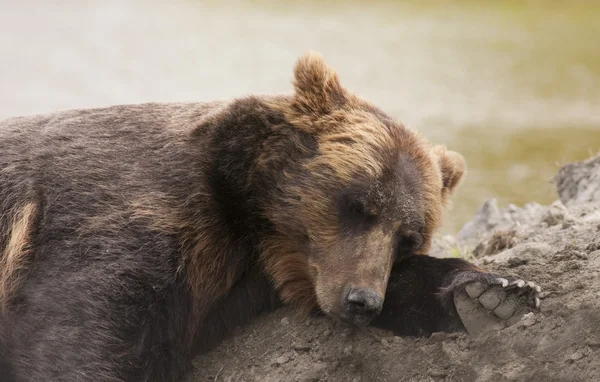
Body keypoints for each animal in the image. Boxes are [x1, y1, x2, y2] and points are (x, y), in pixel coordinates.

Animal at [0, 51, 540, 382]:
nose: (362, 300)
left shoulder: (255, 279)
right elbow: (78, 334)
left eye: (409, 237)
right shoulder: (119, 211)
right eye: (359, 205)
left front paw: (492, 294)